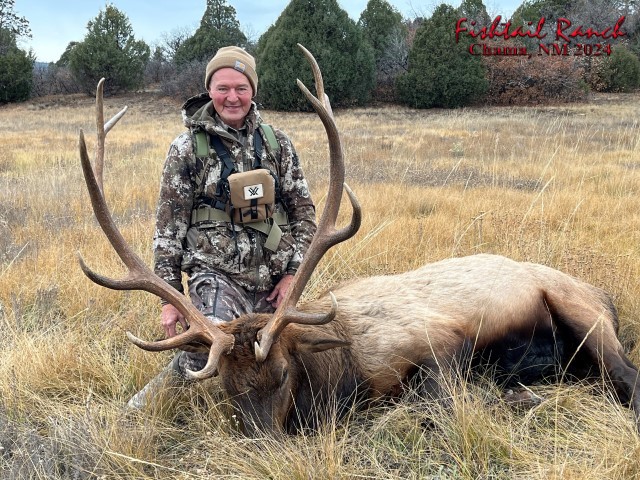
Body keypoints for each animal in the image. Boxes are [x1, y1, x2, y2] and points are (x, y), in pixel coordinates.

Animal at [78, 45, 640, 435]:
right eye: (228, 391)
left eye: (283, 374)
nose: (262, 442)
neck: (342, 369)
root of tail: (607, 298)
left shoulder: (437, 344)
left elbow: (438, 400)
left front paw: (521, 399)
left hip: (583, 315)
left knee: (626, 376)